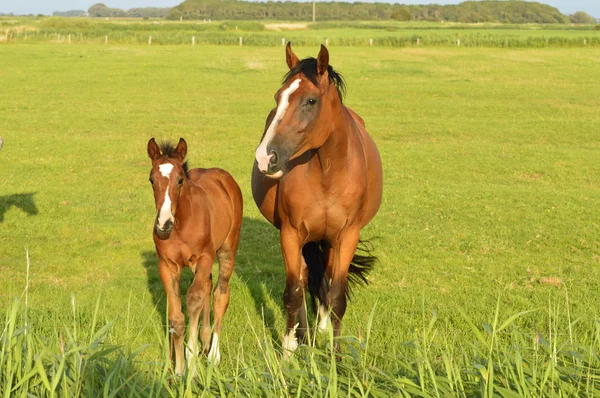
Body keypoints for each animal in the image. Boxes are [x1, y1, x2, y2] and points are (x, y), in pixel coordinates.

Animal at [146, 138, 243, 374]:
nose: (163, 225)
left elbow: (193, 300)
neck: (181, 224)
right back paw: (205, 341)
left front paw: (190, 361)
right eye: (151, 180)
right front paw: (179, 369)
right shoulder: (167, 265)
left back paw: (213, 354)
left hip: (227, 249)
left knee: (219, 293)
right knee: (207, 285)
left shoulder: (205, 258)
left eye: (180, 180)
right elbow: (176, 317)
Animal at [250, 43, 382, 358]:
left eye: (310, 101)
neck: (327, 172)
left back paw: (320, 328)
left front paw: (336, 356)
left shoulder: (347, 236)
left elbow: (336, 296)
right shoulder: (291, 234)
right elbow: (293, 292)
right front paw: (288, 350)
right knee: (304, 277)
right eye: (278, 97)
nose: (265, 157)